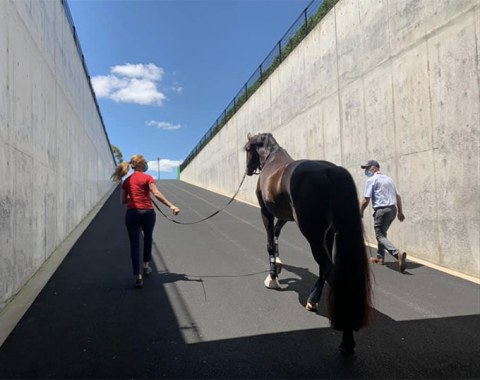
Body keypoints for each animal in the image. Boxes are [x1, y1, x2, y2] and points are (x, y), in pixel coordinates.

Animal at [244, 133, 372, 354]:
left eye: (246, 149)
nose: (248, 170)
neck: (272, 159)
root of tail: (331, 171)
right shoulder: (284, 215)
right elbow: (276, 234)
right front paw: (278, 265)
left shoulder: (266, 212)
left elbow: (270, 243)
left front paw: (273, 277)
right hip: (328, 232)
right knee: (329, 268)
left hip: (311, 231)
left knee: (327, 266)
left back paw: (318, 306)